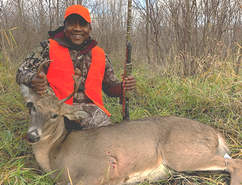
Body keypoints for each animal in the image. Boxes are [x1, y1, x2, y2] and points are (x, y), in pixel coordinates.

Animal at [19, 61, 242, 185]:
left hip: (181, 153)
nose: (33, 135)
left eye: (55, 115)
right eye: (32, 107)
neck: (54, 153)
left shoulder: (99, 168)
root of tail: (215, 133)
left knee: (234, 163)